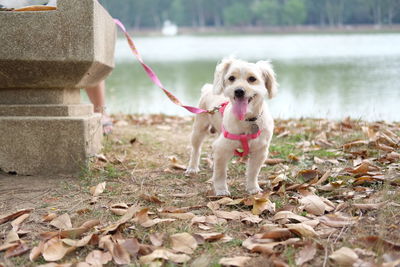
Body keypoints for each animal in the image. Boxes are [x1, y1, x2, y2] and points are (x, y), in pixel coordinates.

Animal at [185, 57, 276, 197]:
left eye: (252, 79)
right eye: (231, 78)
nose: (238, 91)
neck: (246, 120)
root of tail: (208, 89)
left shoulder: (260, 151)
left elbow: (253, 172)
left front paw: (253, 188)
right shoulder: (223, 147)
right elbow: (220, 173)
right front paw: (221, 189)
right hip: (199, 128)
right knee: (196, 149)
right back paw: (193, 167)